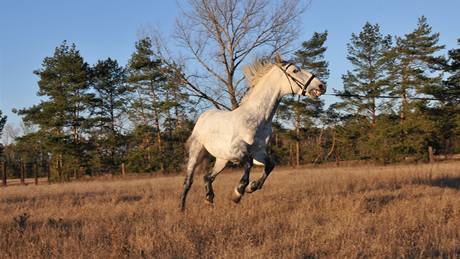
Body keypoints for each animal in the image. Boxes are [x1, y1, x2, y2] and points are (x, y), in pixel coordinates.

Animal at [180, 53, 328, 211]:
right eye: (295, 70)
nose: (321, 85)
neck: (257, 118)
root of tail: (204, 115)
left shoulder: (258, 152)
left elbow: (270, 165)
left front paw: (252, 187)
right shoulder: (238, 151)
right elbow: (248, 165)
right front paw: (238, 193)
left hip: (222, 159)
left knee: (208, 177)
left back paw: (209, 199)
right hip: (196, 153)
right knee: (188, 181)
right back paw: (182, 209)